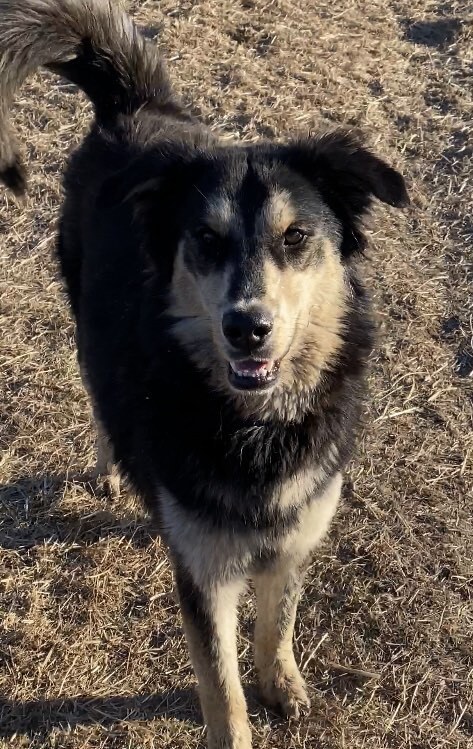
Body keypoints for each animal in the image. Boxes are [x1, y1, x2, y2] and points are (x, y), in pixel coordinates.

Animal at [0, 2, 408, 744]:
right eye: (207, 240)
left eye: (296, 237)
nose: (246, 328)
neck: (256, 427)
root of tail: (135, 106)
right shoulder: (204, 576)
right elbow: (221, 686)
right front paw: (240, 721)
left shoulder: (293, 537)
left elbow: (279, 619)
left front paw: (282, 683)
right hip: (81, 312)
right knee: (97, 394)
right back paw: (111, 467)